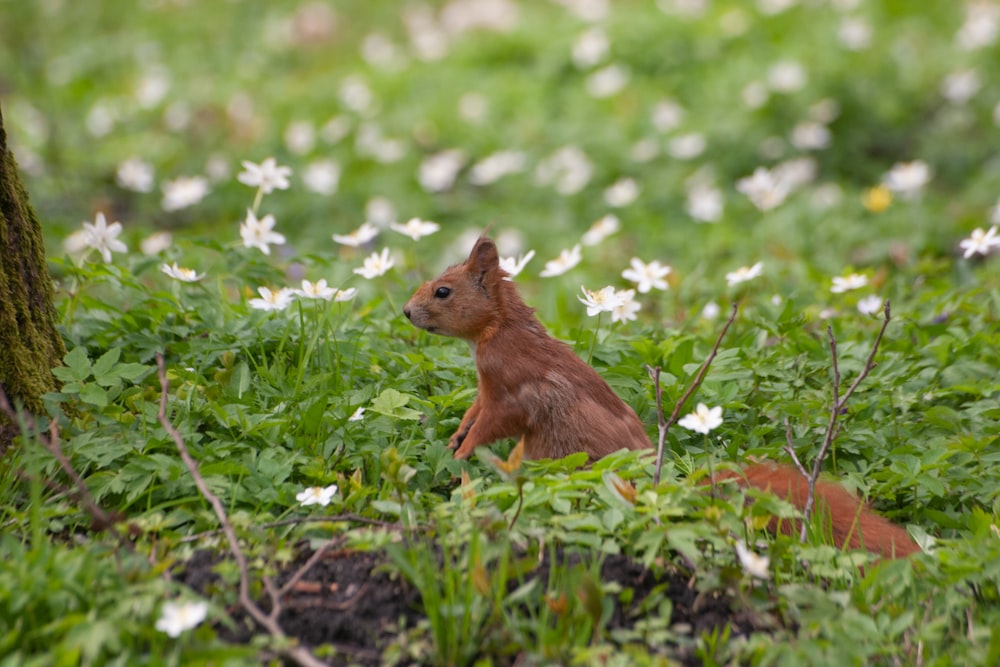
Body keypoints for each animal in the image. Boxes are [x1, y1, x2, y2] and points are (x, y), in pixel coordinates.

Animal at [402, 235, 916, 560]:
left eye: (442, 291)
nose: (406, 311)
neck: (496, 329)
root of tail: (652, 482)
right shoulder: (485, 388)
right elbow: (474, 410)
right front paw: (456, 438)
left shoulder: (512, 387)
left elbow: (496, 420)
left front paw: (462, 453)